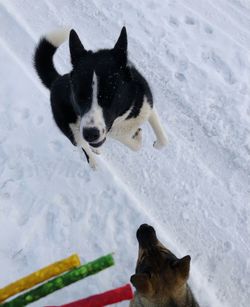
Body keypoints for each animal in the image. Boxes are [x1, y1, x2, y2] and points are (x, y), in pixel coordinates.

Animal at [32, 27, 166, 170]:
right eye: (79, 96)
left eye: (109, 96)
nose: (90, 134)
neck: (127, 115)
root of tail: (56, 80)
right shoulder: (114, 133)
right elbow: (136, 146)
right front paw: (138, 136)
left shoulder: (147, 104)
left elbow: (163, 139)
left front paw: (157, 142)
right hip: (71, 130)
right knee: (83, 145)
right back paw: (93, 161)